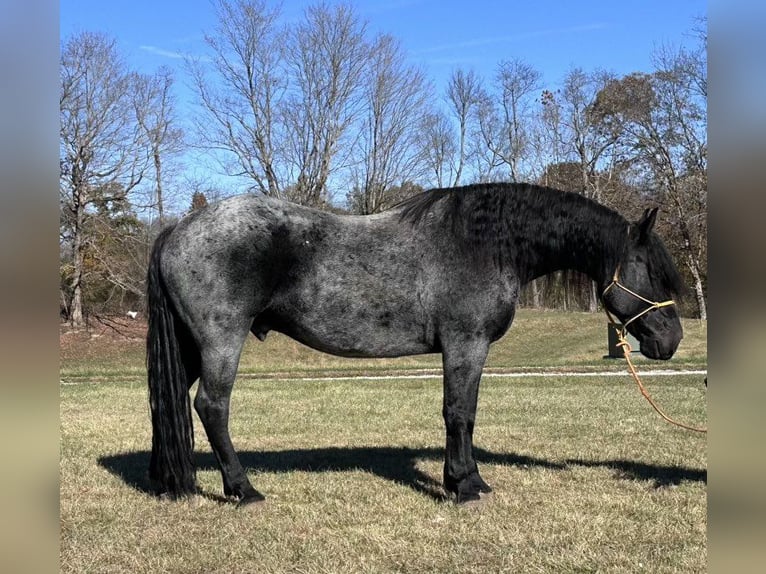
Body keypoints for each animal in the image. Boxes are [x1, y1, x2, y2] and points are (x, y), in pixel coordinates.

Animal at [147, 182, 688, 506]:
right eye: (649, 269)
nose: (672, 339)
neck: (487, 245)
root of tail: (177, 228)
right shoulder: (466, 344)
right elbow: (459, 413)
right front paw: (465, 485)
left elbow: (463, 413)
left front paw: (463, 480)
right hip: (221, 340)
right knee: (212, 406)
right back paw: (243, 490)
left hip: (191, 347)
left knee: (168, 401)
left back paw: (169, 481)